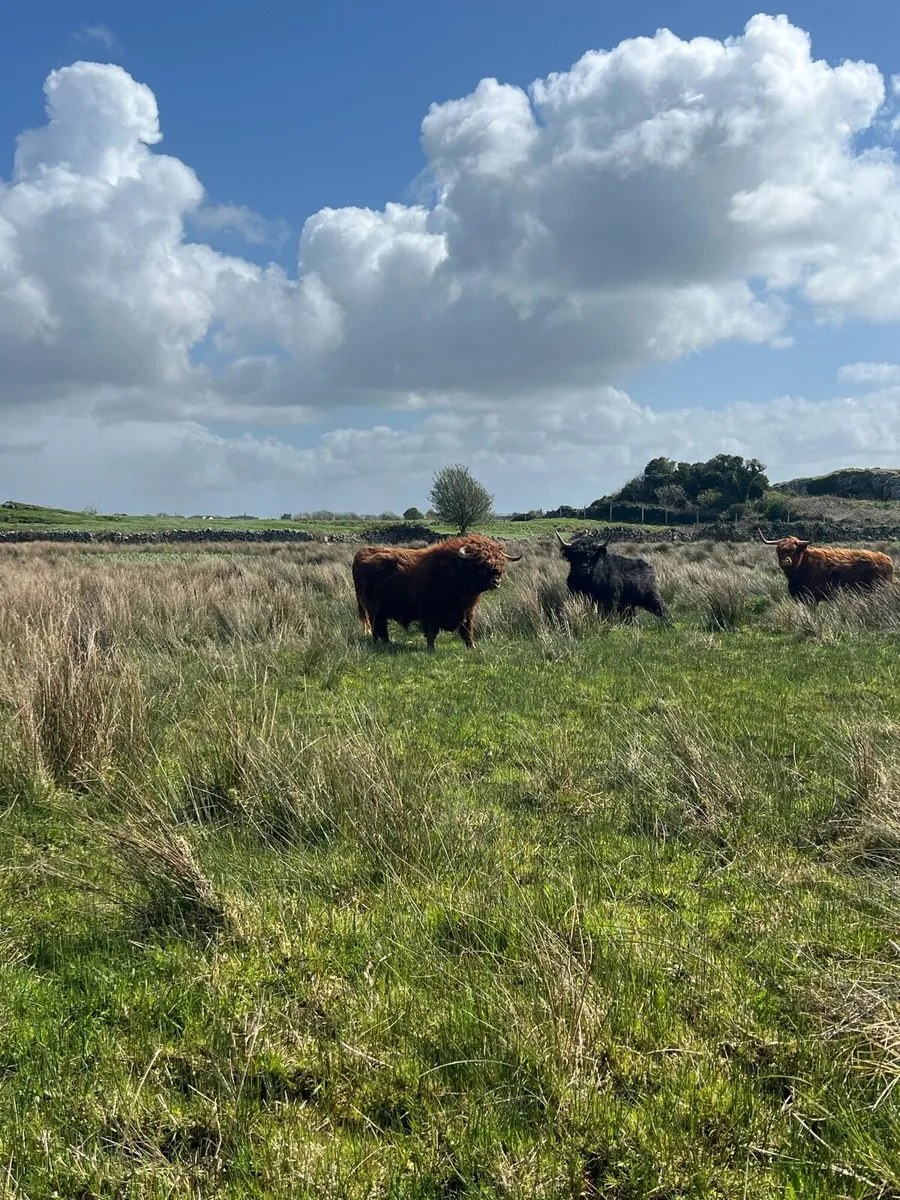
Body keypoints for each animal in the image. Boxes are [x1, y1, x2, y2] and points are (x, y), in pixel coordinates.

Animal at [352, 534, 522, 652]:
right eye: (481, 562)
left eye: (500, 562)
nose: (496, 581)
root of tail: (361, 553)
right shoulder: (429, 612)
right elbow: (431, 632)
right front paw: (431, 649)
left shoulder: (468, 612)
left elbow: (468, 631)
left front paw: (472, 648)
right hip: (373, 608)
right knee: (376, 626)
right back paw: (379, 644)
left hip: (380, 610)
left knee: (381, 627)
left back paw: (388, 643)